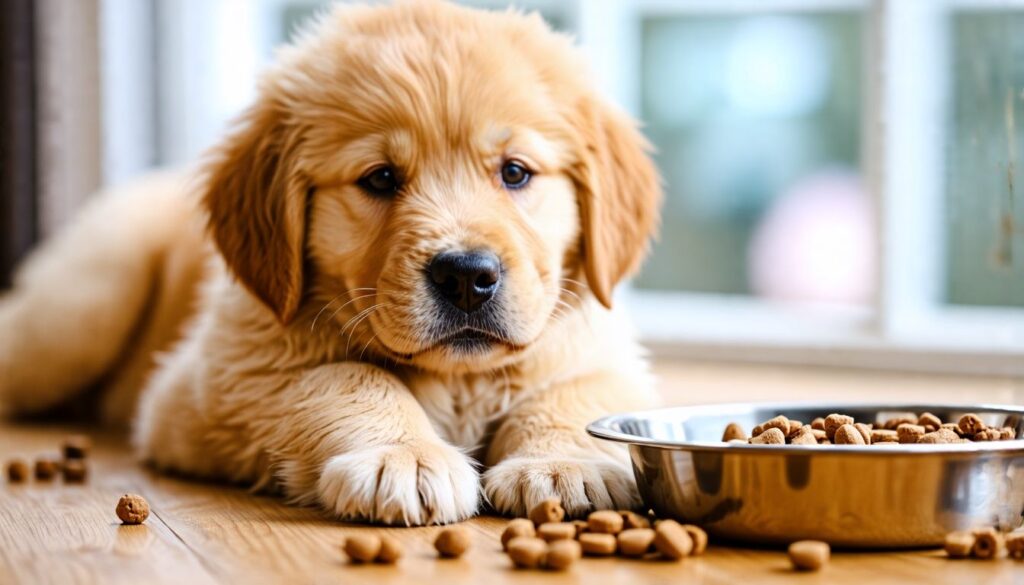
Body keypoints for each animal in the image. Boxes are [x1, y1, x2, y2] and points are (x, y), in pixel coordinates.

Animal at [0, 1, 659, 524]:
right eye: (381, 178)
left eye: (516, 172)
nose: (467, 278)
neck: (455, 378)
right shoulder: (224, 373)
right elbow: (346, 377)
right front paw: (404, 456)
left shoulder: (593, 343)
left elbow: (577, 393)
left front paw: (562, 462)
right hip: (82, 312)